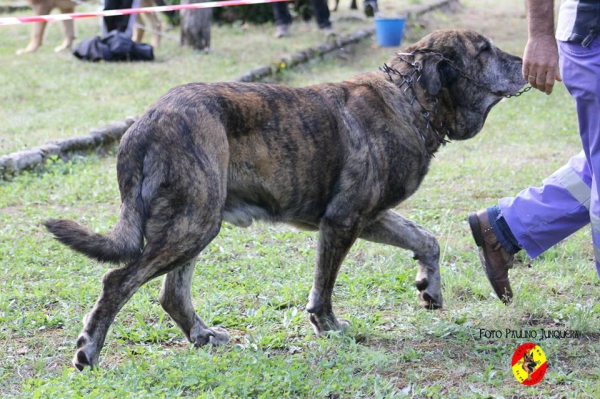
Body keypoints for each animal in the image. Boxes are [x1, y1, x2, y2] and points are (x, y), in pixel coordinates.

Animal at [45, 28, 524, 372]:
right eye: (484, 49)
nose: (524, 61)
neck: (411, 98)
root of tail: (146, 120)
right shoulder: (343, 220)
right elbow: (324, 286)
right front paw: (328, 326)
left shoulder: (370, 216)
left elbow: (426, 239)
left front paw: (430, 286)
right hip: (193, 224)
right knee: (118, 281)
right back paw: (89, 351)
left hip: (195, 221)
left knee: (172, 294)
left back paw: (202, 336)